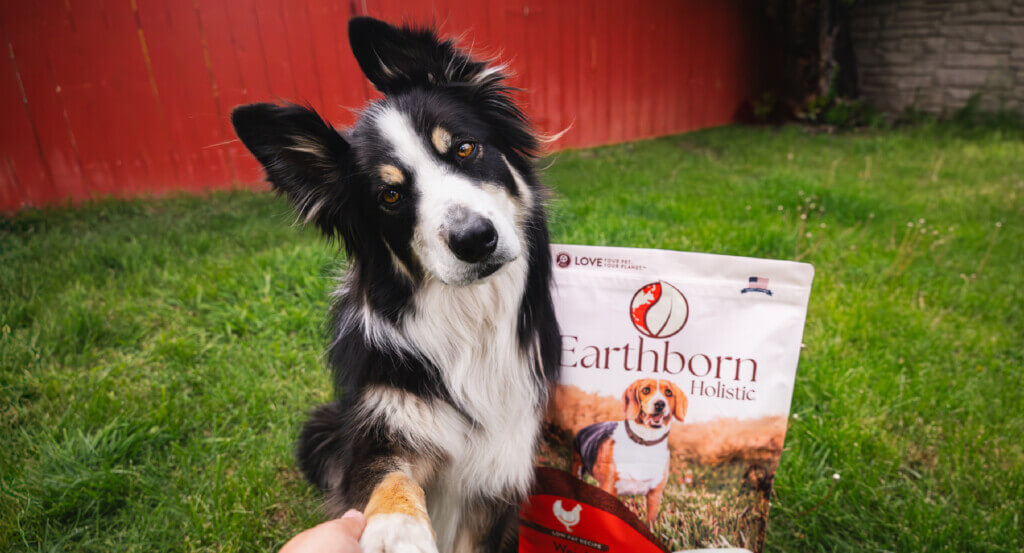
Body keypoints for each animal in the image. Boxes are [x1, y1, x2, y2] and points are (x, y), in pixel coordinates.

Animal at [230, 15, 561, 553]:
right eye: (390, 196)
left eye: (465, 147)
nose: (475, 240)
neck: (469, 319)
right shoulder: (380, 431)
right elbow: (388, 475)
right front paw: (397, 527)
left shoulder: (500, 472)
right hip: (321, 426)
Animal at [573, 378, 684, 524]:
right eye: (645, 390)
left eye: (669, 392)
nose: (660, 404)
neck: (644, 444)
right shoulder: (609, 488)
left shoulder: (655, 495)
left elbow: (650, 523)